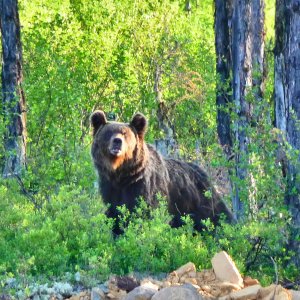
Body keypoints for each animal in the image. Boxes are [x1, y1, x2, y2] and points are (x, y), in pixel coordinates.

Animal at [90, 110, 233, 234]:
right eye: (109, 132)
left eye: (125, 133)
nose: (117, 141)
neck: (122, 174)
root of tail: (202, 172)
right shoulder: (110, 187)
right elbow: (115, 213)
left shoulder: (144, 186)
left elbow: (143, 213)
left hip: (201, 198)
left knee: (217, 215)